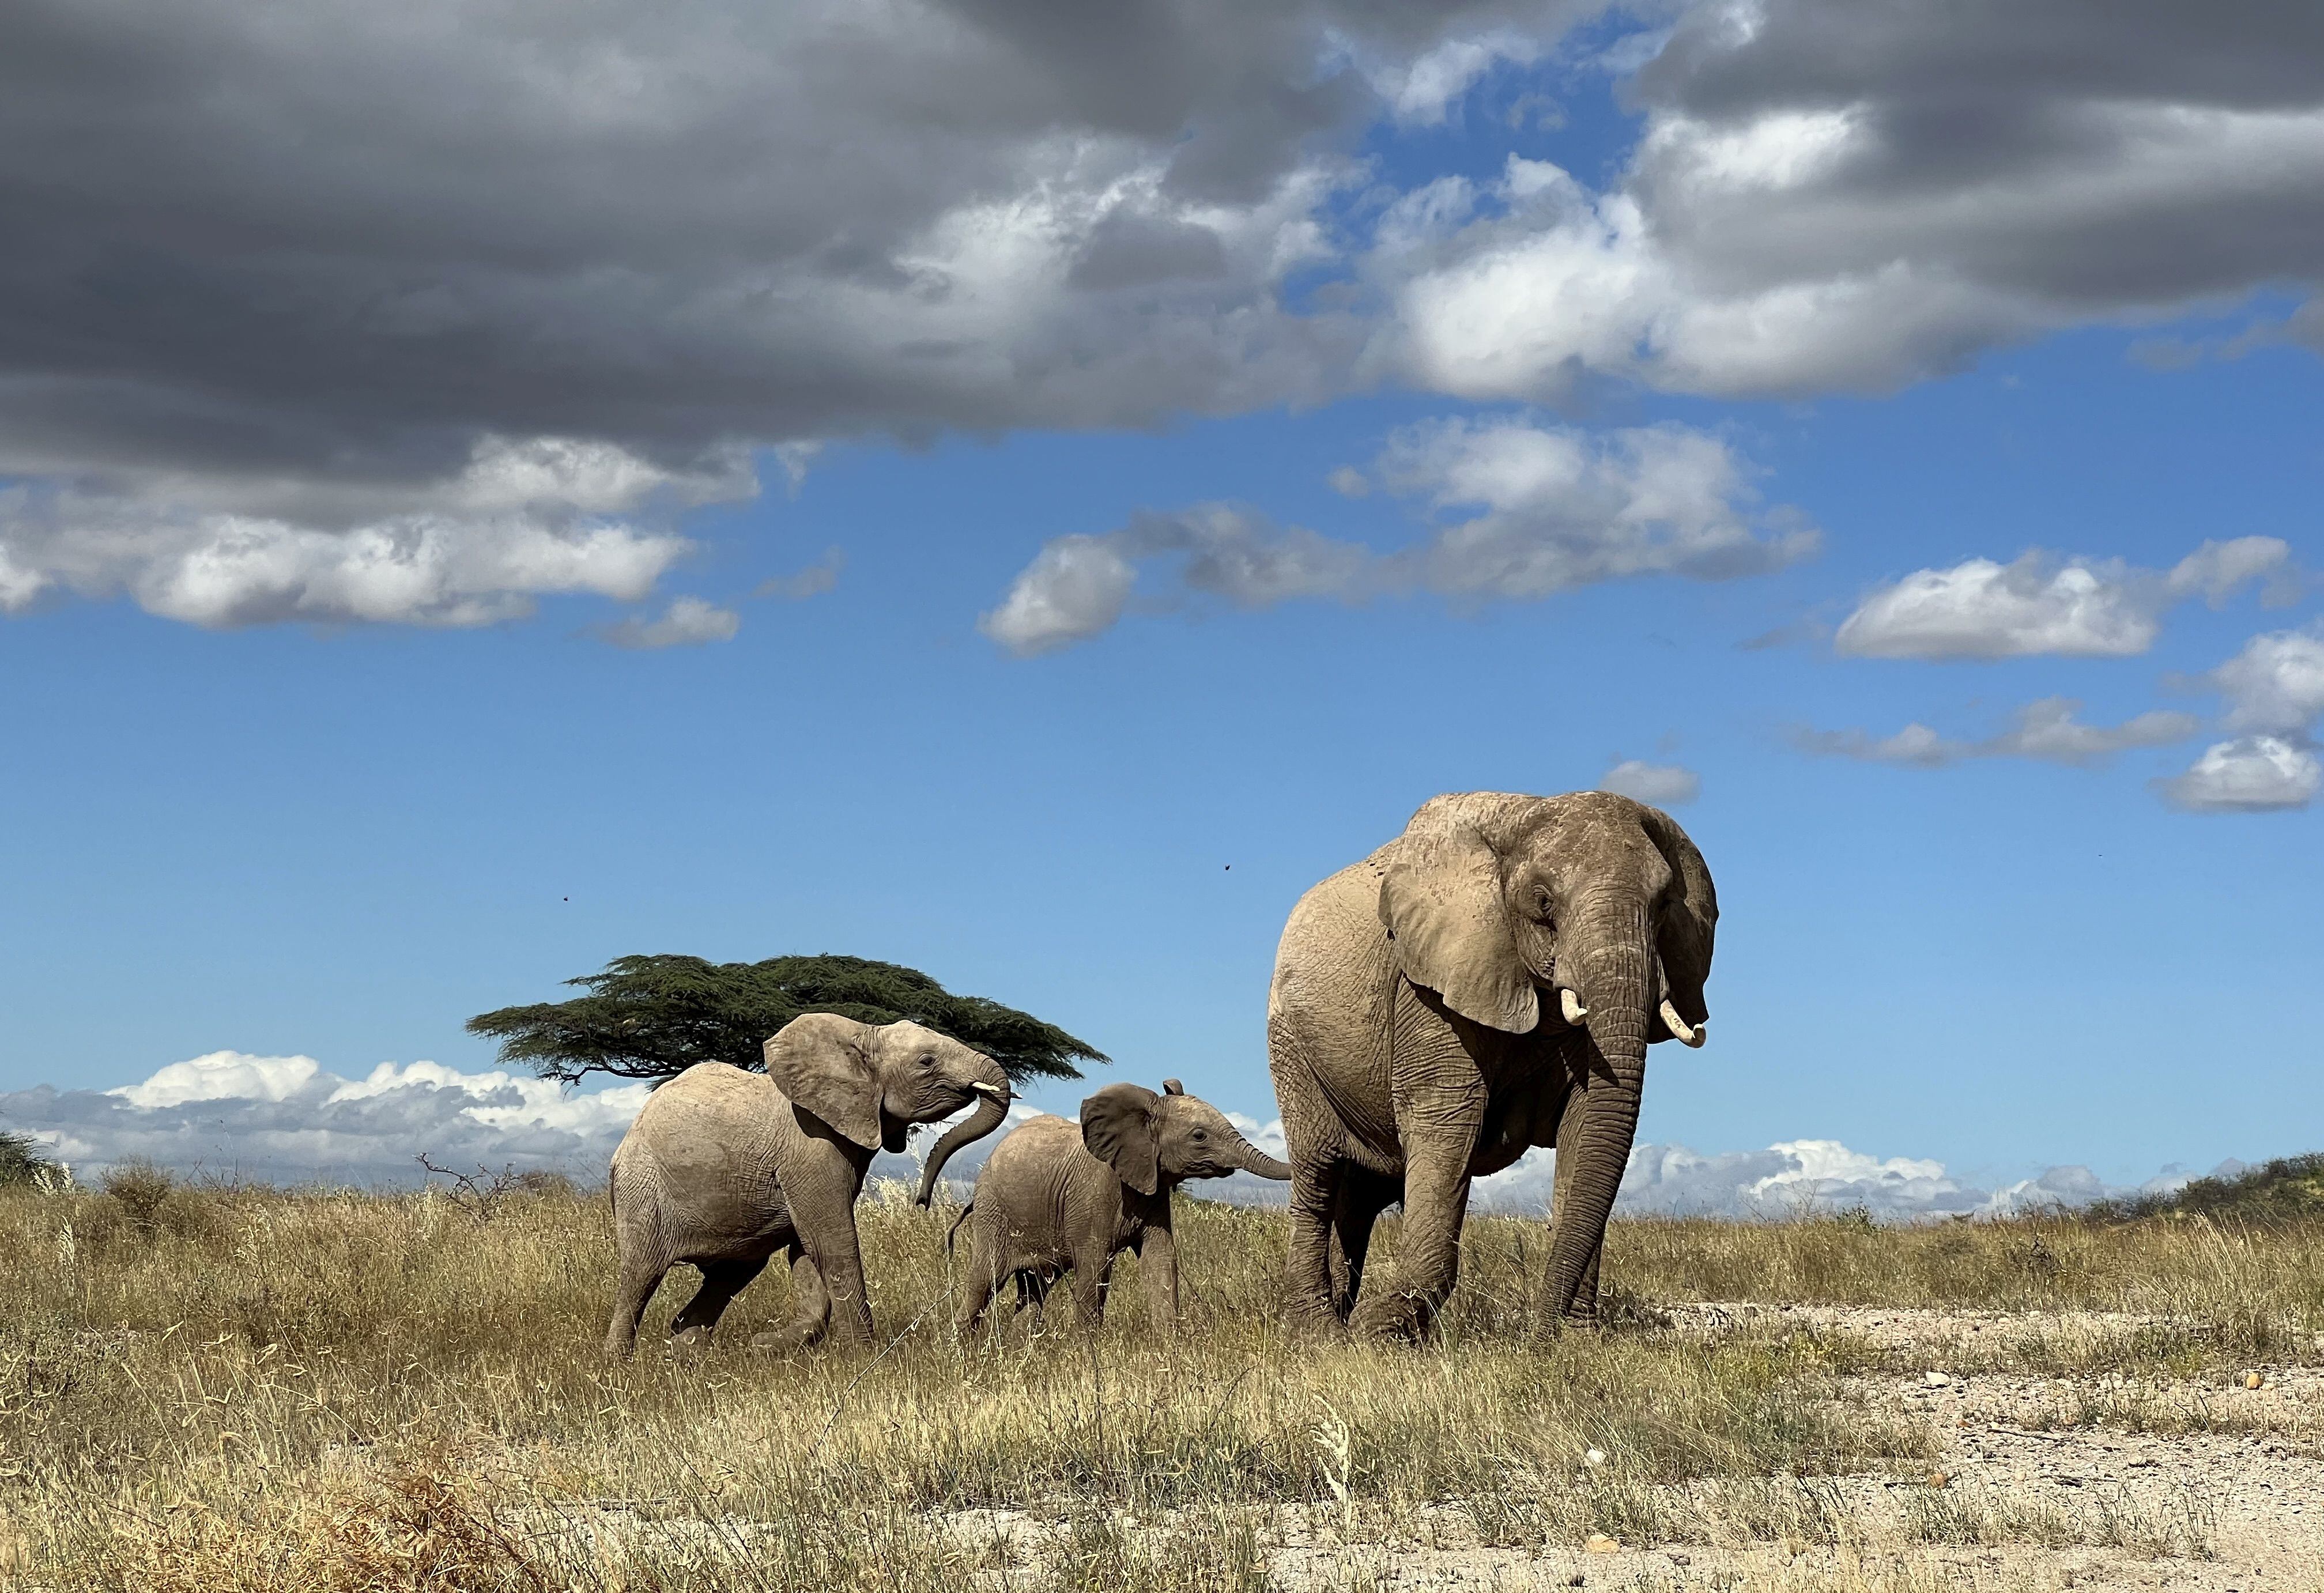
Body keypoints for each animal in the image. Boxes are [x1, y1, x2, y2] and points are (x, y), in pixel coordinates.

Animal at [599, 1017, 1008, 1365]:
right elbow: (832, 1242)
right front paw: (865, 1356)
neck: (861, 1036)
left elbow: (807, 1250)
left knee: (731, 1274)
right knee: (641, 1273)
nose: (922, 1201)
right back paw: (620, 1364)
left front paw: (768, 1346)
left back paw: (688, 1353)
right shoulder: (812, 1148)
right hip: (643, 1187)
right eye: (927, 1061)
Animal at [953, 1086, 1301, 1337]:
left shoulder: (1154, 1190)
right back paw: (963, 1352)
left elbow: (1161, 1260)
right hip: (993, 1212)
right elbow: (1094, 1268)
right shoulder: (1093, 1194)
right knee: (984, 1280)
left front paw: (1171, 1346)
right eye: (1199, 1136)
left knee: (1034, 1288)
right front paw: (1088, 1352)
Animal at [1273, 794, 1710, 1337]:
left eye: (1665, 905)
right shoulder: (1428, 987)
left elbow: (1587, 1129)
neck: (1525, 816)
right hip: (1291, 1043)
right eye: (1543, 903)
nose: (1540, 1335)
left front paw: (1579, 1339)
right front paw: (1380, 1334)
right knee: (1318, 1172)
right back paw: (1321, 1332)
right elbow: (1446, 1119)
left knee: (1359, 1196)